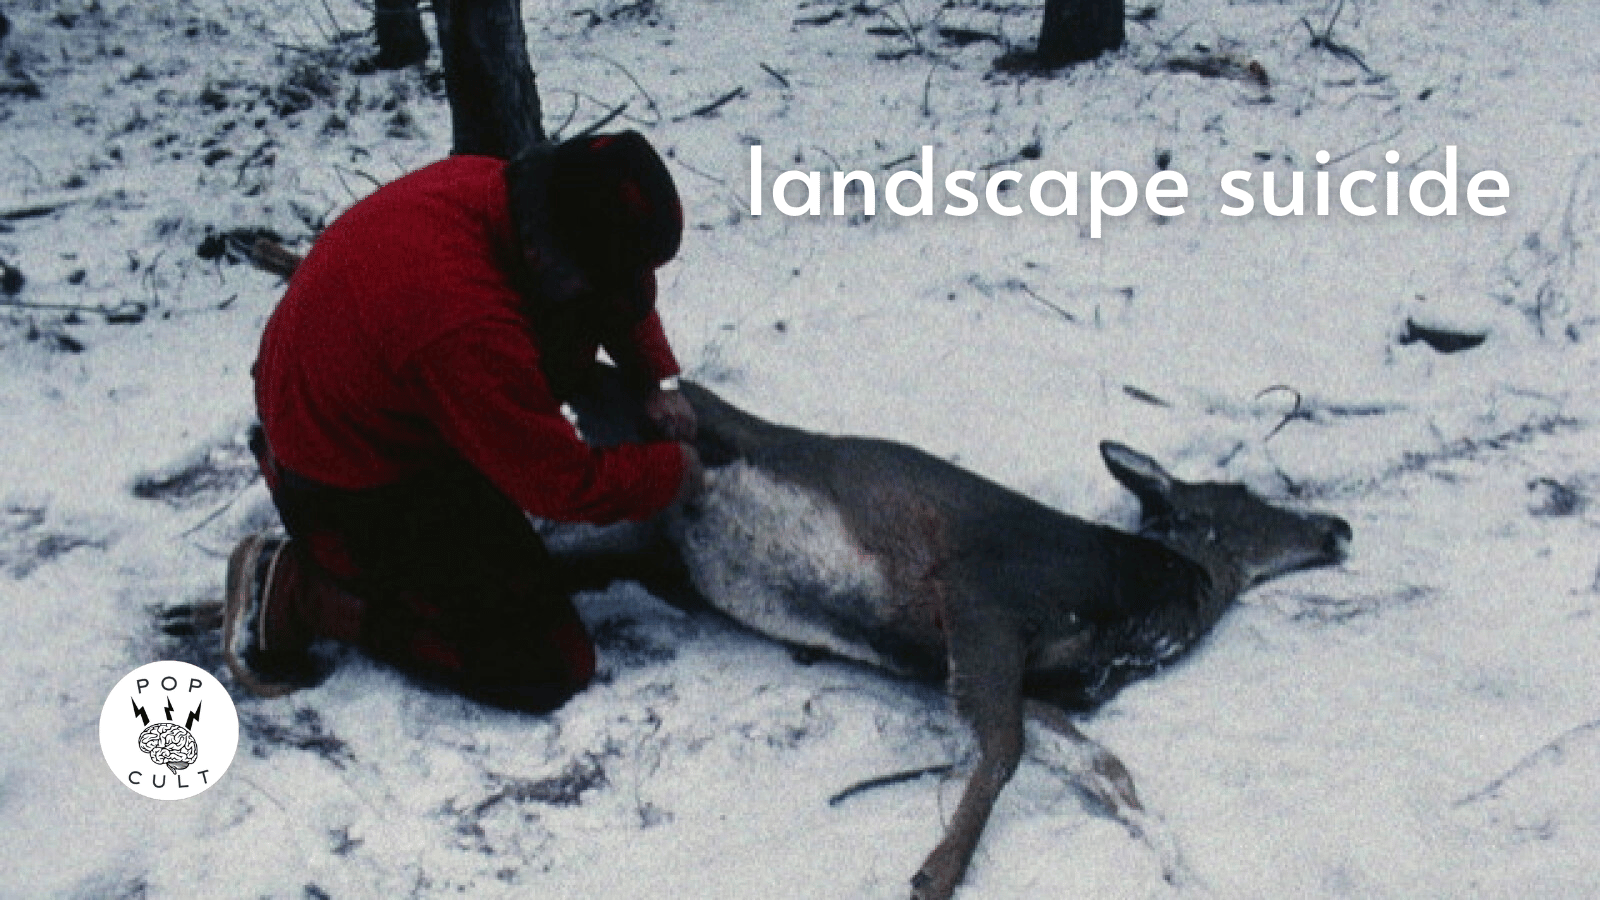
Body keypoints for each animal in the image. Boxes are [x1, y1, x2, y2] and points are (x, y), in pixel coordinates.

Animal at [556, 369, 1353, 900]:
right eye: (1245, 494)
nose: (1338, 527)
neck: (1135, 602)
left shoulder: (1020, 671)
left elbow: (1101, 763)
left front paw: (1179, 867)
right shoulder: (984, 594)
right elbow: (1003, 749)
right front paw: (937, 872)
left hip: (638, 544)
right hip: (653, 426)